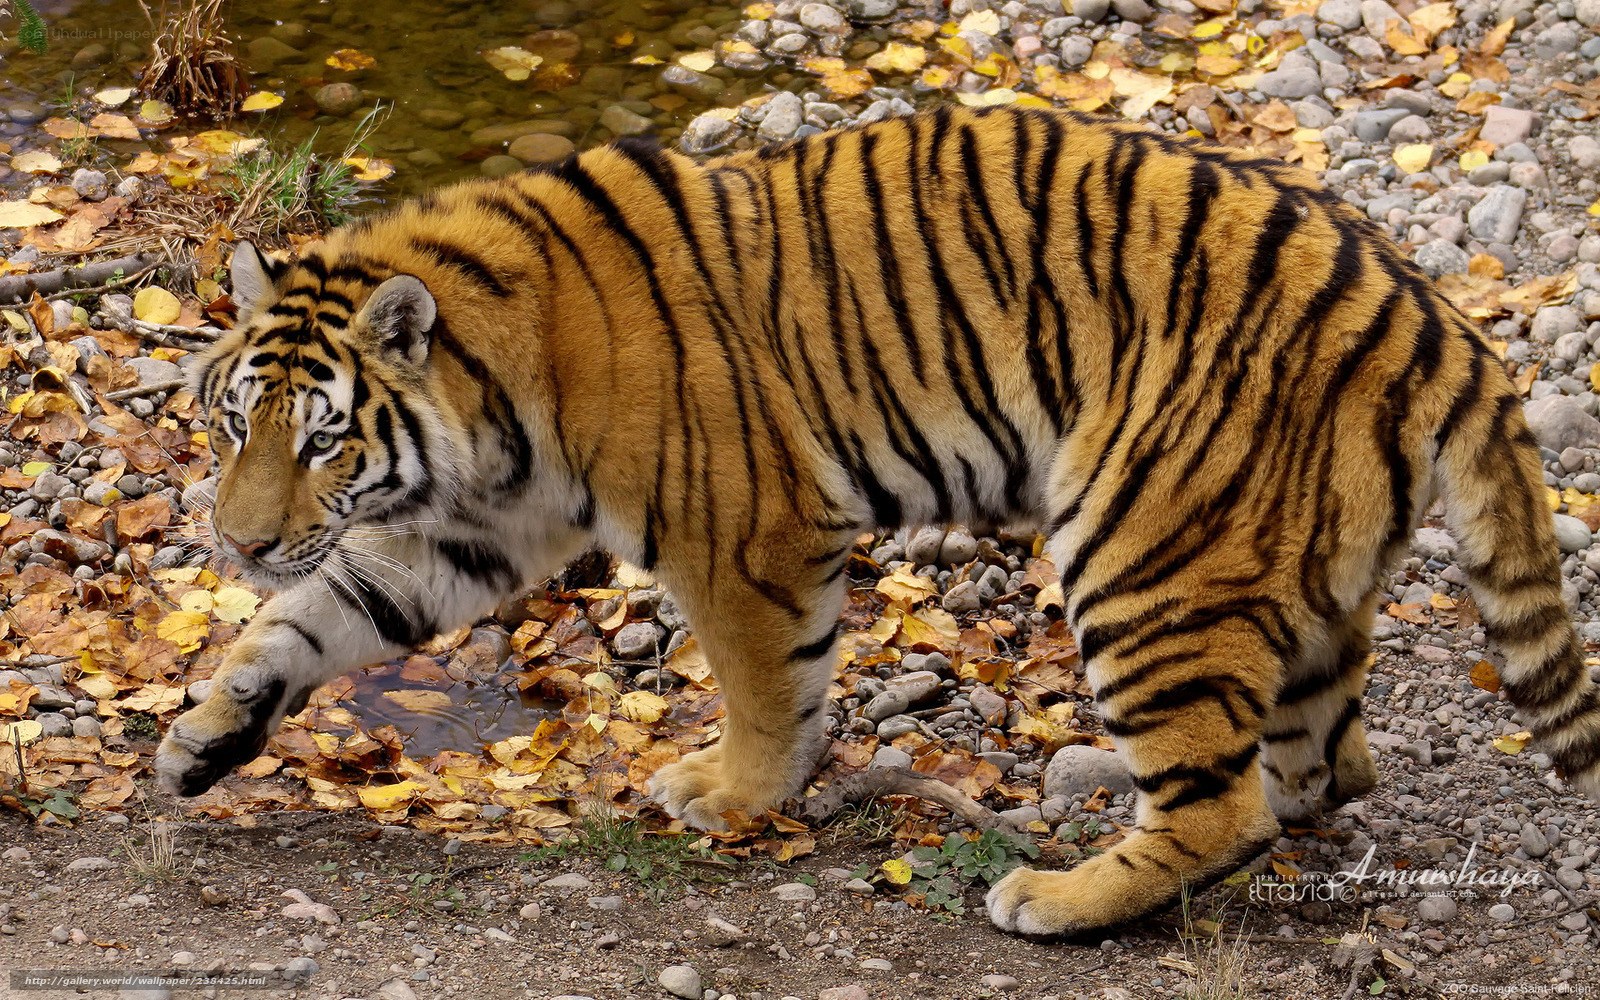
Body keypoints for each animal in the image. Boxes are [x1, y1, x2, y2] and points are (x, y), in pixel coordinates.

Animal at [153, 104, 1600, 936]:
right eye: (233, 427)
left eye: (323, 438)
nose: (236, 541)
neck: (492, 395)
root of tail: (1432, 315)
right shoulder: (471, 533)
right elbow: (314, 619)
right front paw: (198, 739)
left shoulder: (744, 535)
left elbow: (765, 688)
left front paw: (730, 794)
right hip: (1295, 573)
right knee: (1320, 768)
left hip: (1142, 551)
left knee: (1223, 805)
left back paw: (1055, 898)